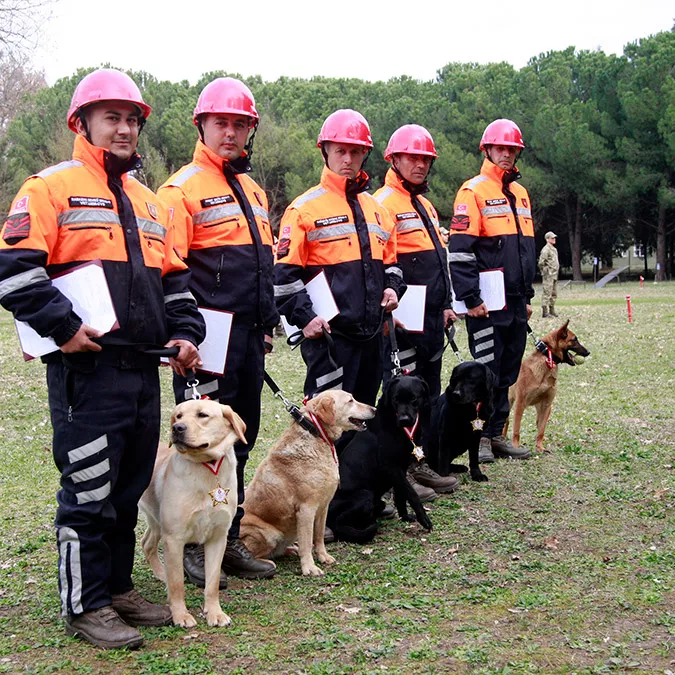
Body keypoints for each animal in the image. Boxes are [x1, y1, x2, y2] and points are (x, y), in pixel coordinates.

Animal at [139, 402, 247, 628]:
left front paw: (215, 612)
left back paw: (161, 574)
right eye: (178, 416)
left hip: (156, 519)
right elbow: (178, 583)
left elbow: (212, 582)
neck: (206, 469)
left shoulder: (218, 537)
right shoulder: (174, 538)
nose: (177, 428)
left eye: (202, 415)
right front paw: (180, 615)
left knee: (147, 543)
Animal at [239, 390, 378, 576]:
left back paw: (290, 549)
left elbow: (318, 536)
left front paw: (323, 556)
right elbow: (306, 542)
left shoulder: (323, 506)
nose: (374, 409)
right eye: (350, 401)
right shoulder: (306, 509)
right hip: (268, 533)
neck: (316, 434)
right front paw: (309, 567)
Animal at [326, 374, 434, 544]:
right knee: (340, 522)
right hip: (365, 494)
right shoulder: (391, 466)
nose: (404, 420)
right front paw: (423, 519)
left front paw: (405, 516)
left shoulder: (401, 467)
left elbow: (401, 494)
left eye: (414, 399)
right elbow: (412, 494)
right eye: (396, 399)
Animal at [504, 322, 588, 454]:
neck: (547, 360)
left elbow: (541, 430)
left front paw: (540, 447)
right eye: (574, 340)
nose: (588, 352)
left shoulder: (546, 405)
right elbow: (516, 429)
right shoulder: (520, 405)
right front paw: (516, 447)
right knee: (505, 422)